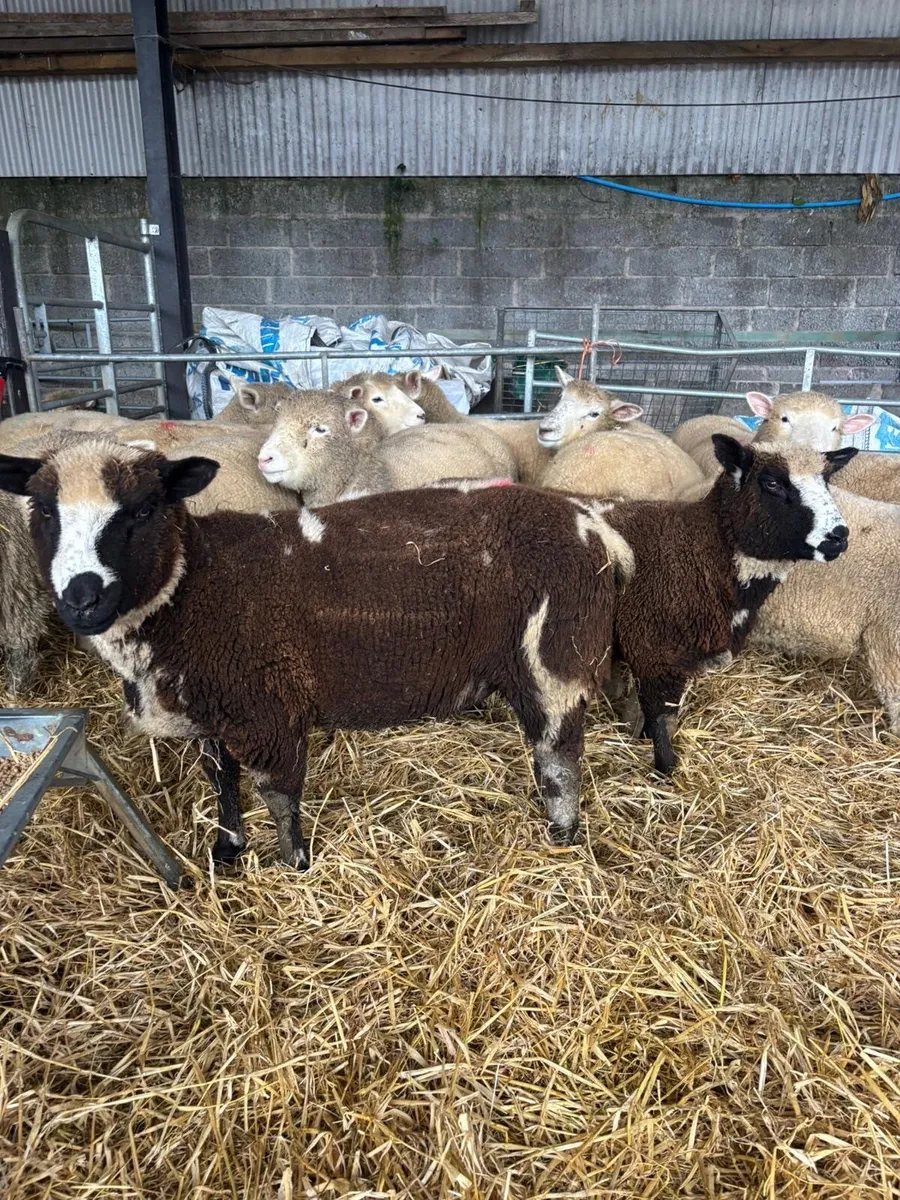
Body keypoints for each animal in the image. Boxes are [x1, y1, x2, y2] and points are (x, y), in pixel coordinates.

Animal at [0, 434, 626, 865]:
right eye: (45, 510)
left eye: (143, 509)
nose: (80, 598)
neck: (197, 586)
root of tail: (591, 522)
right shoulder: (214, 709)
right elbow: (221, 783)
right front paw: (228, 851)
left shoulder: (266, 710)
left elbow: (279, 797)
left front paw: (293, 864)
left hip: (555, 660)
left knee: (559, 761)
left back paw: (562, 836)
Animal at [600, 436, 856, 772]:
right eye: (772, 483)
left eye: (825, 480)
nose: (838, 537)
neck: (700, 550)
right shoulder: (653, 651)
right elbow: (660, 720)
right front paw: (665, 768)